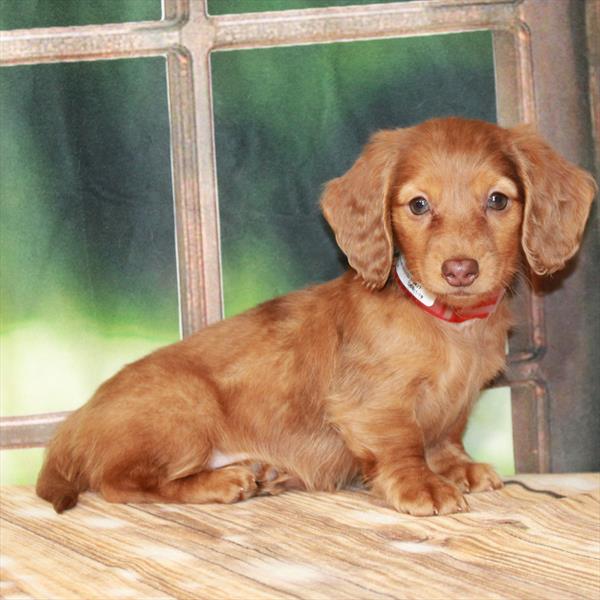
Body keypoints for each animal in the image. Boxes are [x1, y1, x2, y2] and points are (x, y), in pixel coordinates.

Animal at [37, 118, 596, 516]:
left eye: (498, 200)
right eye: (418, 205)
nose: (460, 269)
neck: (446, 322)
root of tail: (74, 425)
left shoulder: (456, 405)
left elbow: (444, 436)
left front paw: (458, 469)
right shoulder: (373, 405)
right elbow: (402, 444)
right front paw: (423, 487)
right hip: (185, 406)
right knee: (119, 482)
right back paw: (224, 480)